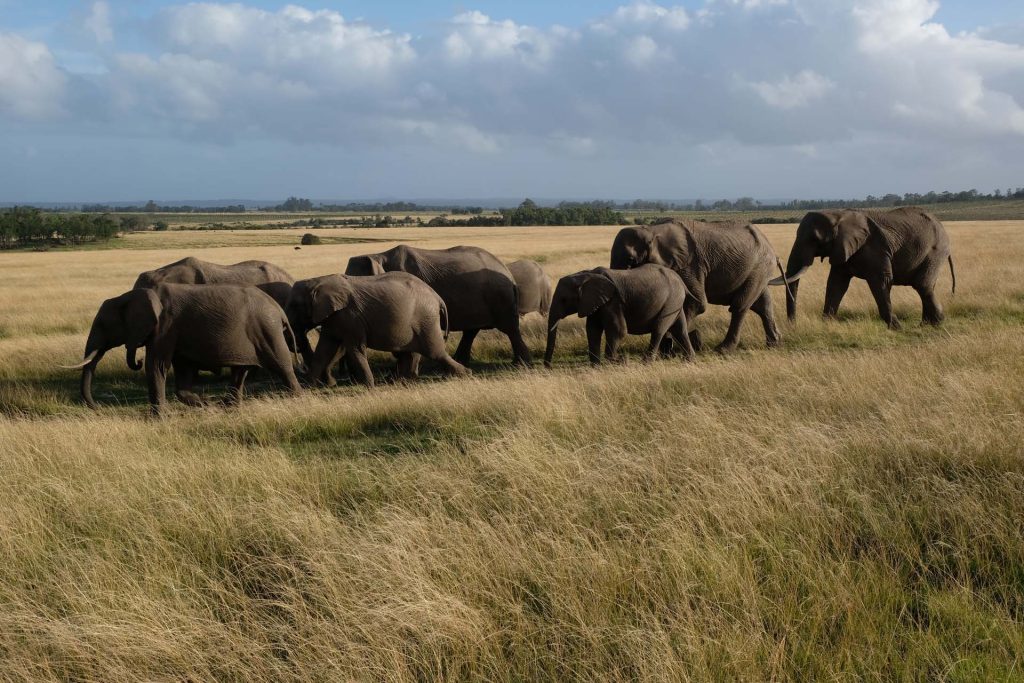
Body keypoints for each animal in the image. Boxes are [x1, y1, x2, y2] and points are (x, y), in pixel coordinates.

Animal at [299, 274, 468, 389]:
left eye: (295, 306)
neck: (320, 280)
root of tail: (437, 297)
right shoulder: (334, 318)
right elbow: (325, 350)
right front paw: (309, 388)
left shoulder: (350, 317)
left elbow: (355, 348)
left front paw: (369, 387)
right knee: (412, 352)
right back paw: (402, 381)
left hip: (426, 319)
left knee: (434, 352)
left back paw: (464, 374)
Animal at [346, 242, 532, 366]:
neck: (379, 255)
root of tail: (507, 272)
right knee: (472, 330)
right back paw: (461, 361)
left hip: (499, 296)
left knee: (509, 328)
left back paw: (521, 363)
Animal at [544, 264, 696, 368]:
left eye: (564, 300)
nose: (548, 366)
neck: (586, 274)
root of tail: (681, 281)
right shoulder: (595, 303)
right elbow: (592, 330)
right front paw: (596, 366)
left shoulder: (613, 301)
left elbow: (617, 330)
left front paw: (617, 361)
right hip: (675, 301)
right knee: (680, 329)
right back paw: (689, 360)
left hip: (671, 300)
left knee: (659, 329)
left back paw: (646, 363)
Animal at [610, 220, 786, 352]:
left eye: (631, 260)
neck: (652, 231)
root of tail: (771, 248)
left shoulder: (690, 265)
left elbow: (696, 303)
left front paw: (669, 348)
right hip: (758, 270)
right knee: (763, 305)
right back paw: (774, 344)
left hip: (759, 266)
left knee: (740, 306)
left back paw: (722, 350)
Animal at [770, 206, 954, 329]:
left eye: (815, 239)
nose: (792, 326)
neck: (838, 214)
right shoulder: (843, 248)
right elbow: (836, 284)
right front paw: (826, 325)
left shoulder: (875, 248)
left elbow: (881, 282)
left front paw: (896, 328)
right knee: (925, 286)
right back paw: (927, 325)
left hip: (935, 250)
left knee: (922, 285)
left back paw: (936, 323)